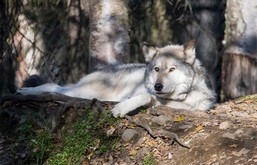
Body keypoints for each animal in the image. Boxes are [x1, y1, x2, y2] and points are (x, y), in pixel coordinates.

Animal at [17, 40, 215, 117]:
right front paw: (122, 107)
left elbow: (150, 97)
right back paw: (25, 91)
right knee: (55, 86)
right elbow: (145, 95)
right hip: (85, 92)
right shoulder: (149, 94)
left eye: (172, 69)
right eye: (157, 69)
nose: (158, 86)